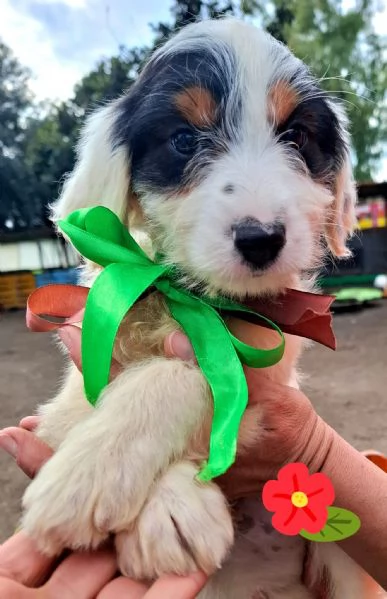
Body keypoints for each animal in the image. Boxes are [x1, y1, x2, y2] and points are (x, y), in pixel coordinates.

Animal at [22, 18, 364, 599]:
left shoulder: (268, 378)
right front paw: (168, 506)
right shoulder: (72, 391)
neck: (194, 300)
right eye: (184, 141)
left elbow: (189, 371)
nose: (261, 239)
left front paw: (89, 474)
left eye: (295, 137)